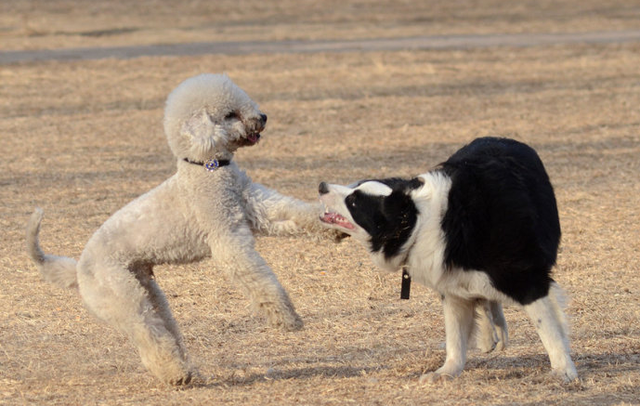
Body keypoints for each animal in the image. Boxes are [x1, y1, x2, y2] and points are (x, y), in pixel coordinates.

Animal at [25, 73, 336, 384]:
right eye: (229, 114)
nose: (262, 117)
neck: (207, 166)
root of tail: (77, 269)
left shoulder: (257, 207)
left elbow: (293, 212)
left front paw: (334, 227)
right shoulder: (227, 238)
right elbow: (259, 279)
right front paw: (288, 319)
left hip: (150, 293)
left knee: (166, 332)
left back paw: (187, 370)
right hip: (124, 299)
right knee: (149, 336)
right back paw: (176, 375)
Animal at [318, 138, 576, 382]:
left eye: (354, 201)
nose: (321, 186)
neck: (422, 221)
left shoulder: (527, 278)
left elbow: (548, 327)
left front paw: (563, 371)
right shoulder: (451, 285)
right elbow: (455, 336)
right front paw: (447, 372)